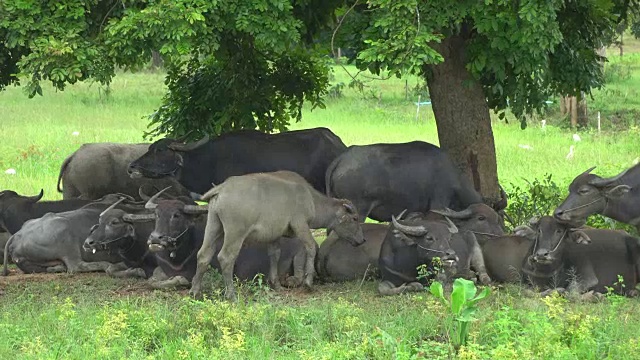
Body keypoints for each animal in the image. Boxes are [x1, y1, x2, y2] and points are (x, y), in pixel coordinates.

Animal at [185, 170, 364, 300]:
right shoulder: (300, 225)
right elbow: (310, 247)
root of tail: (222, 188)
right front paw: (308, 282)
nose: (362, 240)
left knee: (204, 254)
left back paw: (195, 291)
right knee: (226, 257)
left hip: (213, 226)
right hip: (235, 233)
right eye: (354, 218)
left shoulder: (274, 236)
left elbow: (274, 255)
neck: (310, 198)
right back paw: (231, 294)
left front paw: (276, 284)